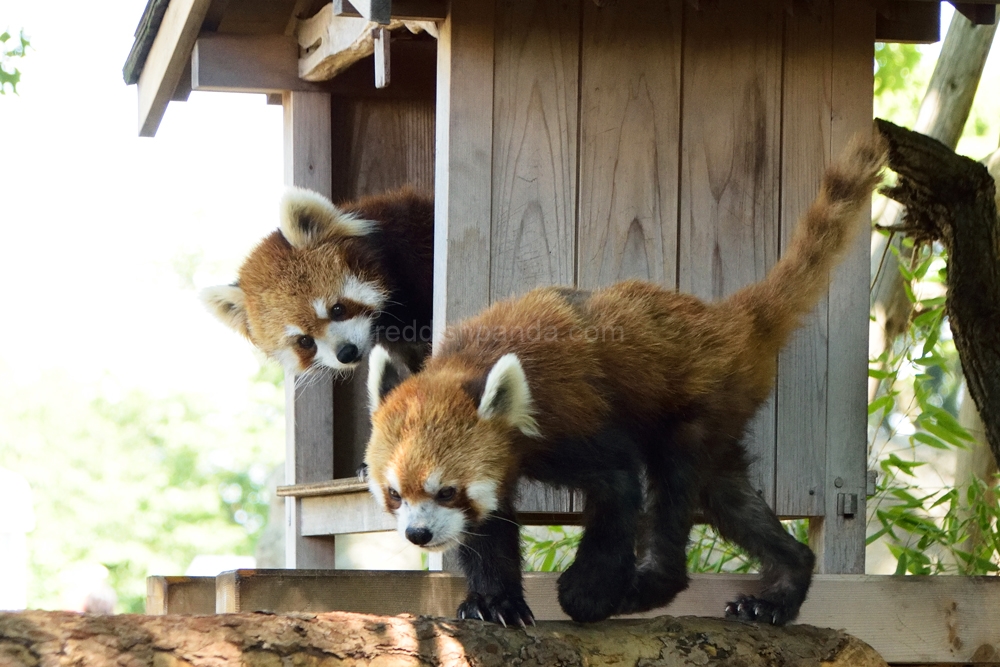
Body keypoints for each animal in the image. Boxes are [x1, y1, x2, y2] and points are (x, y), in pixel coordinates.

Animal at [364, 134, 888, 628]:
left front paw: (586, 593)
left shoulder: (571, 419)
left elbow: (618, 488)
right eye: (395, 494)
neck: (472, 365)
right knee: (730, 498)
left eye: (446, 491)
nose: (418, 534)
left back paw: (646, 586)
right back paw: (780, 589)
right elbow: (490, 527)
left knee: (675, 485)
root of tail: (727, 320)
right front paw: (496, 603)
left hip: (698, 408)